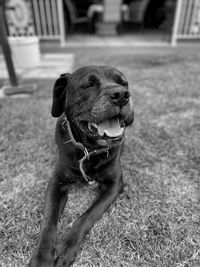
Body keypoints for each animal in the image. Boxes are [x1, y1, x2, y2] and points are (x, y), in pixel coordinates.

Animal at [28, 65, 134, 267]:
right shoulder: (57, 182)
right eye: (88, 84)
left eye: (123, 82)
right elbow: (48, 220)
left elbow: (88, 215)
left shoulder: (114, 184)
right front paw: (41, 257)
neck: (89, 150)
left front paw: (67, 246)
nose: (121, 95)